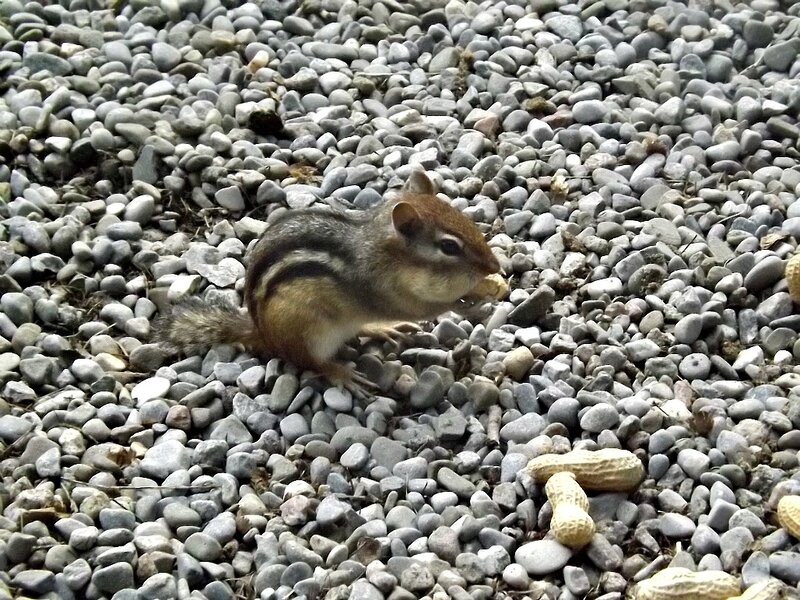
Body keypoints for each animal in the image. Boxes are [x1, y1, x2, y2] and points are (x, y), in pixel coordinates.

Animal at [160, 170, 502, 391]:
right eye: (449, 247)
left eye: (467, 220)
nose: (494, 264)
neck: (379, 251)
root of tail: (261, 332)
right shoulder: (384, 293)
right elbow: (426, 308)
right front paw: (469, 303)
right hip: (307, 332)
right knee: (309, 361)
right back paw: (342, 373)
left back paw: (380, 329)